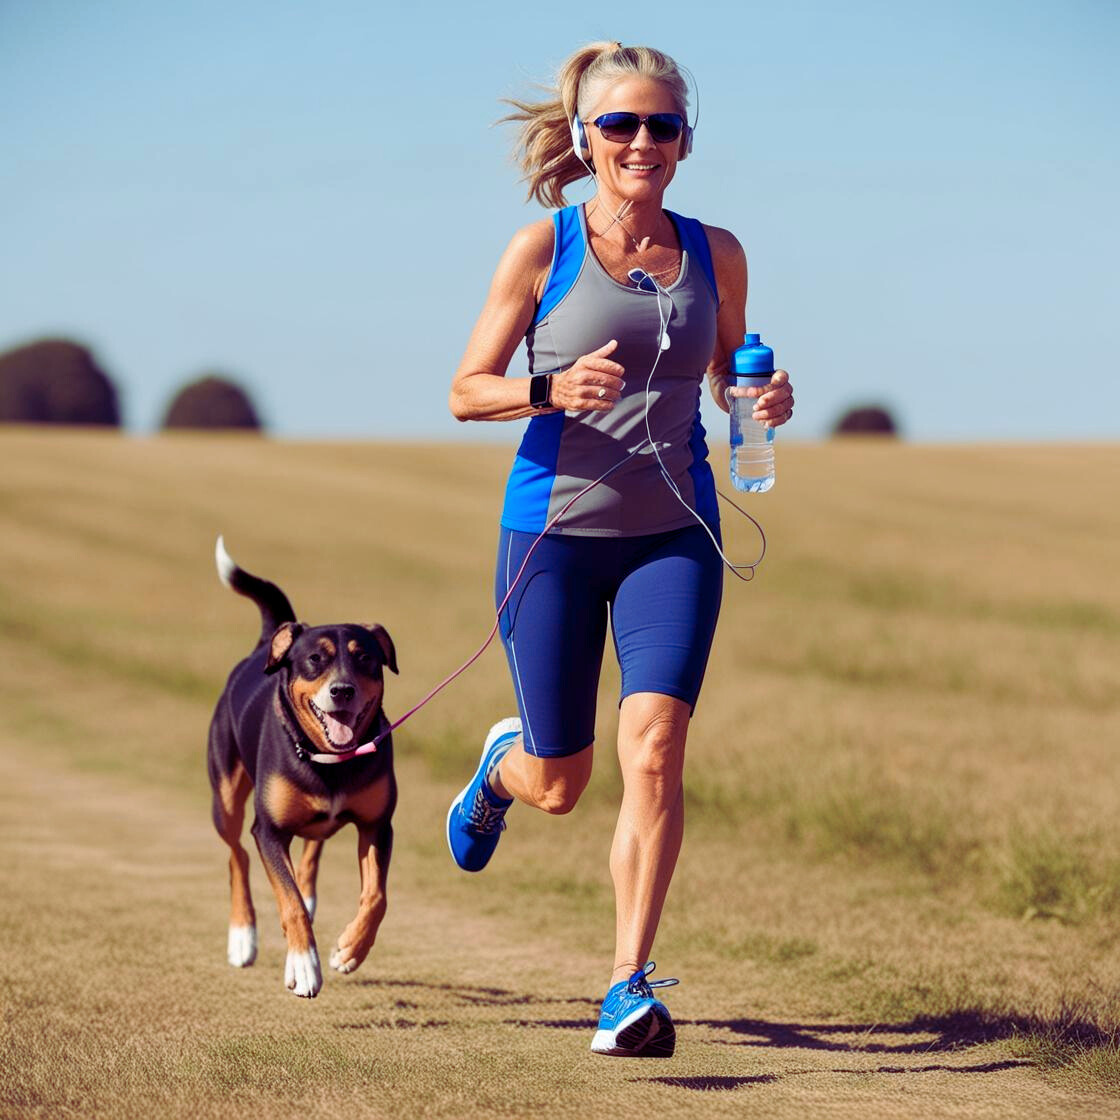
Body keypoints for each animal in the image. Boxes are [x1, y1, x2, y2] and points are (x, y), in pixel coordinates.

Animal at [206, 537, 398, 1003]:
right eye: (314, 659)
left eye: (365, 659)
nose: (342, 690)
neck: (329, 761)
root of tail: (264, 644)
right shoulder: (270, 831)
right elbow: (288, 899)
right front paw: (304, 966)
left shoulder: (377, 824)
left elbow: (376, 896)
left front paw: (350, 949)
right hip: (226, 797)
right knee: (237, 855)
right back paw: (243, 936)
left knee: (313, 846)